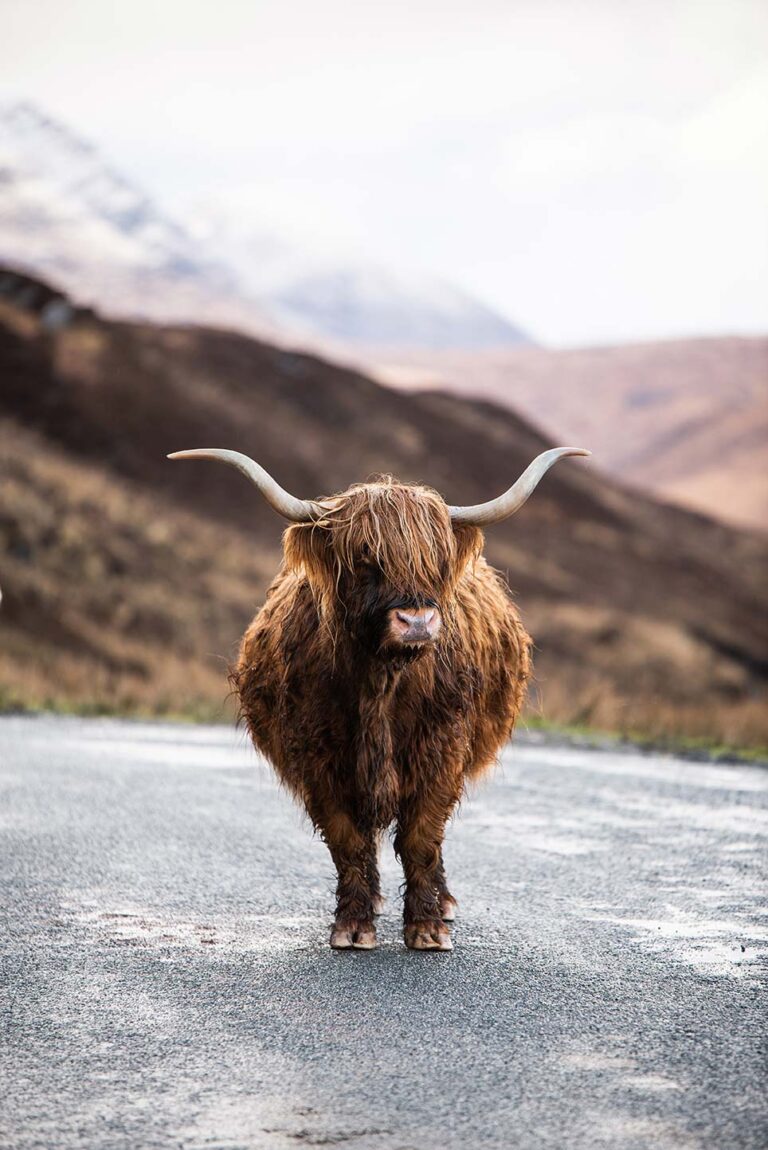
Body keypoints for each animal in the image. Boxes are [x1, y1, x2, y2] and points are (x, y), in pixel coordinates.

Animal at [169, 446, 589, 950]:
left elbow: (422, 838)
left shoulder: (441, 751)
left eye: (436, 560)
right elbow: (348, 841)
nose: (417, 621)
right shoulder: (321, 759)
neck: (381, 683)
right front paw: (353, 925)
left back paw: (444, 905)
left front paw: (427, 928)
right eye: (365, 558)